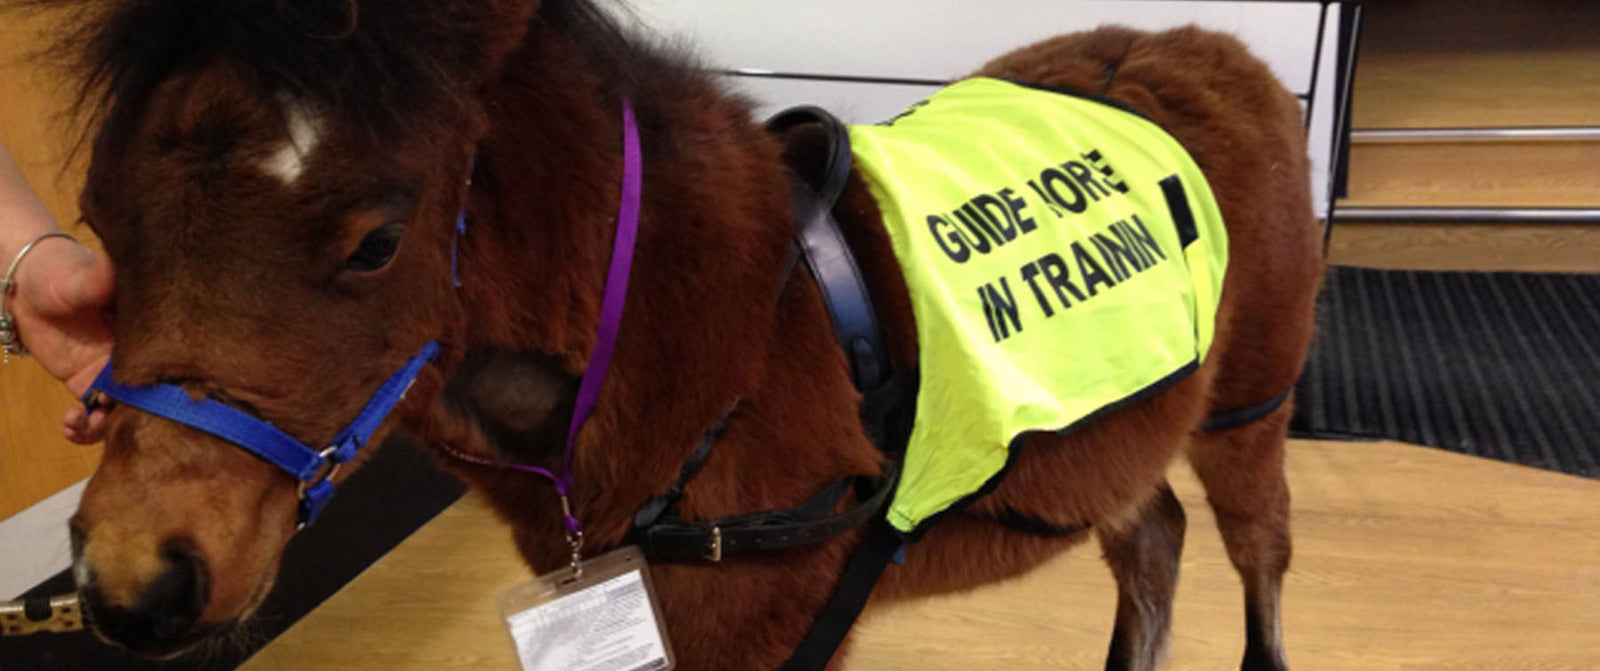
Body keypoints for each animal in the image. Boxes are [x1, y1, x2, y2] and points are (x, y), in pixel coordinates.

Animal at [38, 0, 1322, 668]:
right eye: (100, 218)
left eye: (375, 240)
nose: (132, 583)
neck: (720, 338)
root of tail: (1209, 45)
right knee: (1149, 535)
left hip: (1248, 403)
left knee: (1256, 548)